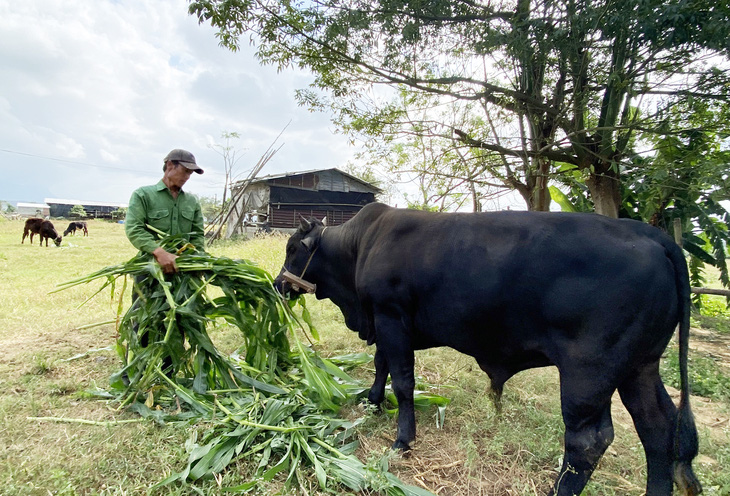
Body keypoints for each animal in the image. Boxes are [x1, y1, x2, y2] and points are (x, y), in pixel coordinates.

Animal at [272, 202, 700, 496]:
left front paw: (402, 440)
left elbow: (403, 381)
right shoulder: (383, 322)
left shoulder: (391, 318)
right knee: (658, 427)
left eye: (293, 248)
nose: (277, 285)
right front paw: (372, 400)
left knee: (588, 441)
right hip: (639, 366)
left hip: (588, 372)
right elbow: (382, 366)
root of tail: (651, 234)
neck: (361, 246)